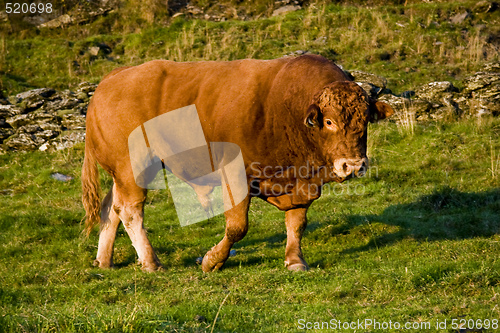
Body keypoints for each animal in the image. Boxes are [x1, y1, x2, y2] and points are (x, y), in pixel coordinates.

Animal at [82, 54, 392, 272]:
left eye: (365, 120)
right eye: (329, 122)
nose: (353, 165)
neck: (285, 108)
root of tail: (112, 78)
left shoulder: (302, 182)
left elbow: (297, 223)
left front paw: (295, 261)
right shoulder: (235, 175)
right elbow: (237, 226)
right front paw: (211, 261)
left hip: (123, 174)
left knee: (111, 207)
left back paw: (104, 261)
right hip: (133, 168)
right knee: (130, 210)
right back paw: (151, 262)